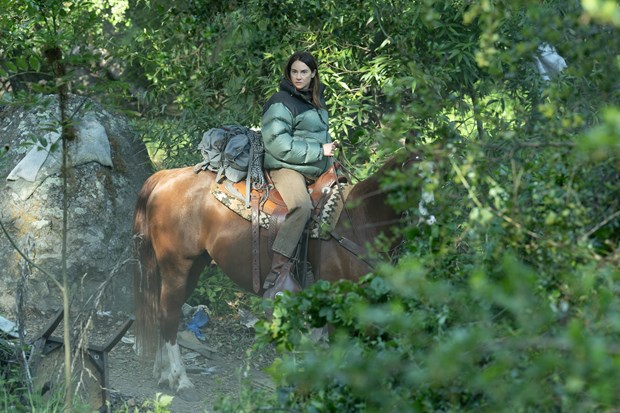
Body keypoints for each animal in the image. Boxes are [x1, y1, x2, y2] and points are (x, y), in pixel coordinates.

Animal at [132, 153, 422, 401]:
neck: (358, 222)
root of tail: (166, 176)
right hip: (177, 266)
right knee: (169, 315)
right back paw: (180, 380)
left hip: (193, 267)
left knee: (163, 310)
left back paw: (162, 373)